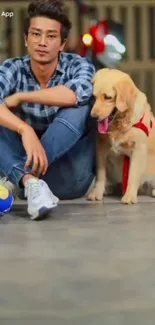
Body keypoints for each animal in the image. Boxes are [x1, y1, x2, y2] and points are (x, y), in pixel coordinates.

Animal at [87, 68, 155, 202]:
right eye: (94, 97)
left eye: (107, 97)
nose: (93, 117)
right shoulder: (100, 147)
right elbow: (100, 175)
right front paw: (97, 192)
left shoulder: (138, 150)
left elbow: (132, 176)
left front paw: (129, 196)